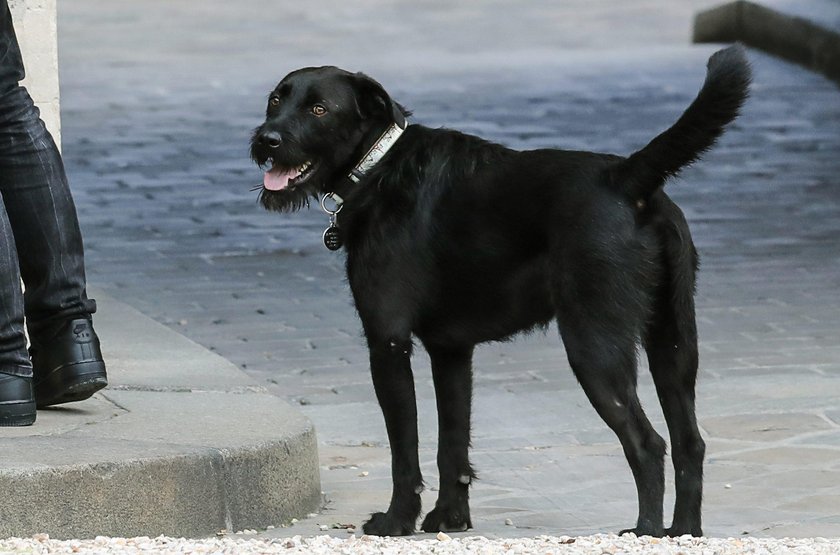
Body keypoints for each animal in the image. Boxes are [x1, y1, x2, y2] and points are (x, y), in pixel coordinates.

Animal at [249, 46, 748, 540]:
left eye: (319, 109)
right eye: (276, 100)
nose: (266, 140)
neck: (378, 164)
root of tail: (628, 177)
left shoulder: (388, 343)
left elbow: (404, 449)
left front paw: (397, 520)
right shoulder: (451, 352)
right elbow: (451, 443)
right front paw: (450, 517)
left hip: (595, 349)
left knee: (647, 443)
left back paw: (646, 531)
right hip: (674, 344)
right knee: (689, 442)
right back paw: (683, 531)